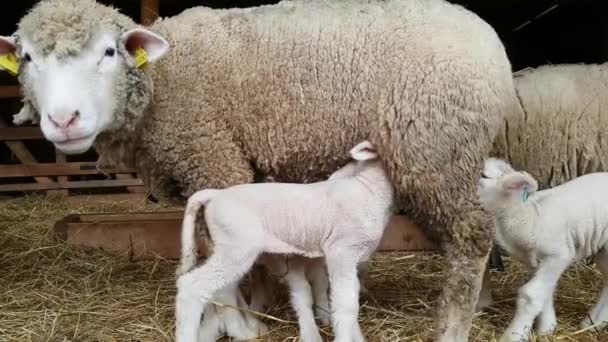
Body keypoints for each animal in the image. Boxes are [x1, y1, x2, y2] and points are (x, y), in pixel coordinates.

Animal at [176, 141, 394, 342]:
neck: (368, 190)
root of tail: (215, 194)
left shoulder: (352, 257)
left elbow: (350, 297)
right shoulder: (341, 251)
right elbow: (345, 304)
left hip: (230, 250)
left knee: (223, 291)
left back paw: (243, 332)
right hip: (236, 248)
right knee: (191, 287)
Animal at [478, 159, 608, 340]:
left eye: (484, 176)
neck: (529, 217)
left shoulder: (558, 256)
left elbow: (531, 294)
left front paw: (514, 335)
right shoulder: (536, 262)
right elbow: (545, 292)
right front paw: (546, 329)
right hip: (603, 250)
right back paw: (592, 323)